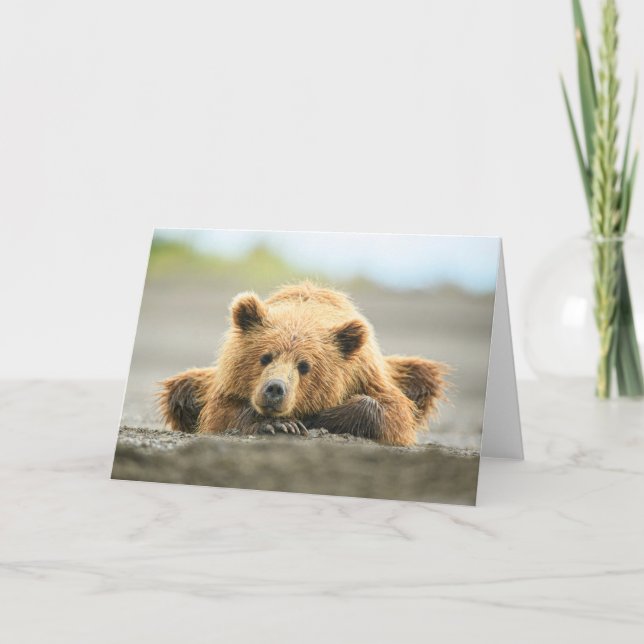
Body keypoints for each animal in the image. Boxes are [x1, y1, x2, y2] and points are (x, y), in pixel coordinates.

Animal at [158, 282, 446, 446]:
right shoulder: (226, 383)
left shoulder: (366, 373)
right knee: (181, 389)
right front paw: (279, 424)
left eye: (305, 366)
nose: (275, 388)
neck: (304, 313)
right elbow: (219, 413)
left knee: (424, 377)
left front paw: (313, 418)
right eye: (265, 357)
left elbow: (393, 413)